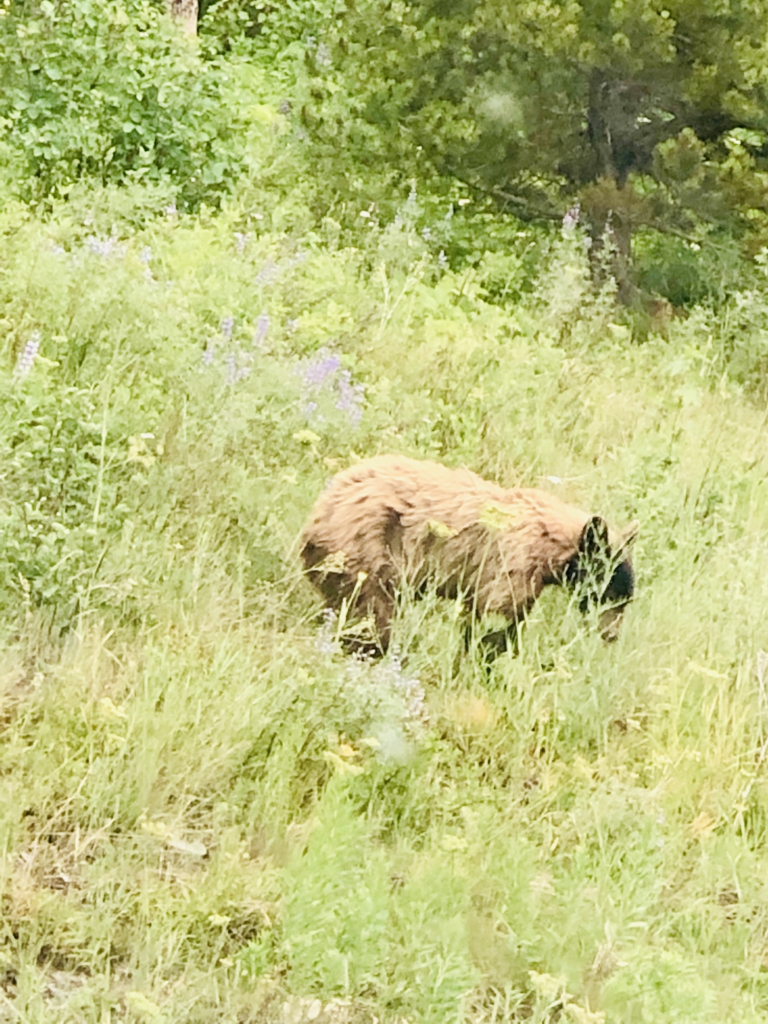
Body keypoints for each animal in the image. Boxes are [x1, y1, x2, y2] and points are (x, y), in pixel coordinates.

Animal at [301, 456, 638, 655]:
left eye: (625, 599)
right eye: (610, 594)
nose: (611, 636)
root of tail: (316, 519)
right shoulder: (512, 563)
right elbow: (496, 617)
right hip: (369, 554)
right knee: (371, 615)